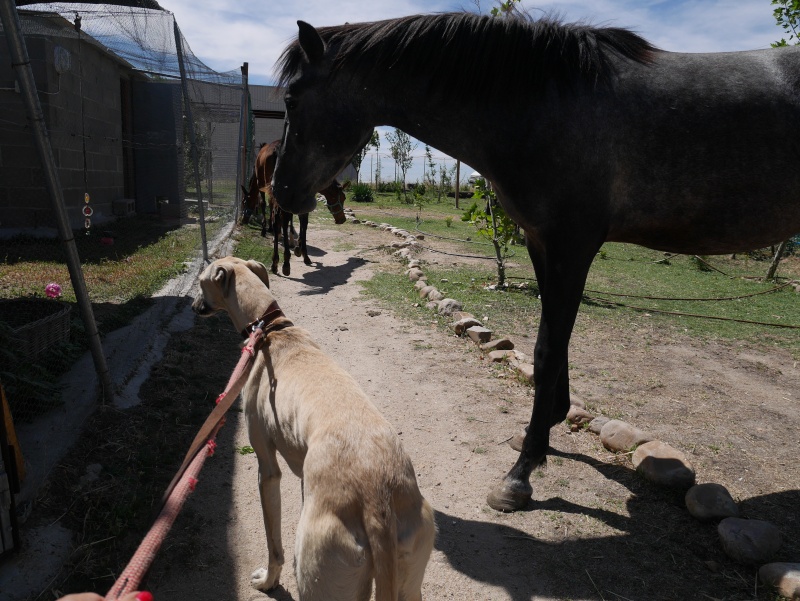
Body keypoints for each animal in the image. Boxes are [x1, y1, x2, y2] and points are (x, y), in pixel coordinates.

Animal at [191, 256, 434, 600]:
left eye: (201, 281)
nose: (194, 306)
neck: (271, 331)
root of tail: (377, 502)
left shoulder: (267, 468)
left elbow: (274, 546)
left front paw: (268, 580)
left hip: (316, 567)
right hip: (410, 574)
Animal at [241, 139, 346, 276]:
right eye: (343, 198)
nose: (342, 219)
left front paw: (298, 248)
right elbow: (301, 222)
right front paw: (300, 250)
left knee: (280, 219)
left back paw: (279, 260)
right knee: (280, 218)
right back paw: (283, 261)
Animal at [270, 12, 800, 510]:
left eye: (292, 100)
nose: (281, 193)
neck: (543, 105)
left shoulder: (571, 245)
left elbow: (547, 348)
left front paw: (520, 474)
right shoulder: (541, 243)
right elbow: (556, 343)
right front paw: (544, 429)